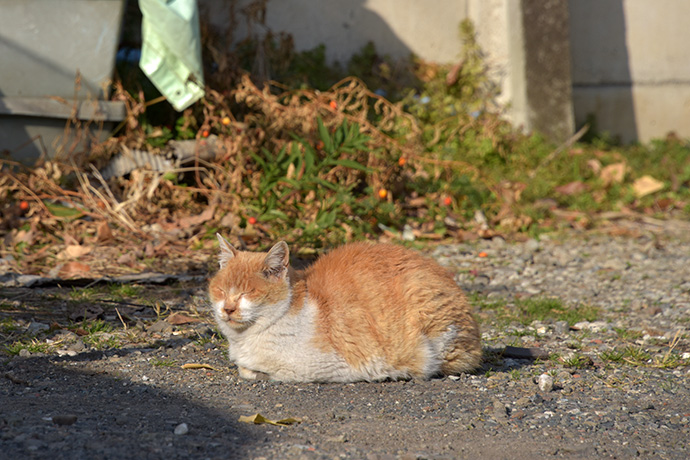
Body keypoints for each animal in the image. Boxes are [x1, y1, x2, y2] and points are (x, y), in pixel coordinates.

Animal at [207, 235, 482, 382]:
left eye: (247, 293)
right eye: (221, 291)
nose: (228, 309)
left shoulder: (330, 366)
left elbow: (262, 371)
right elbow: (246, 368)